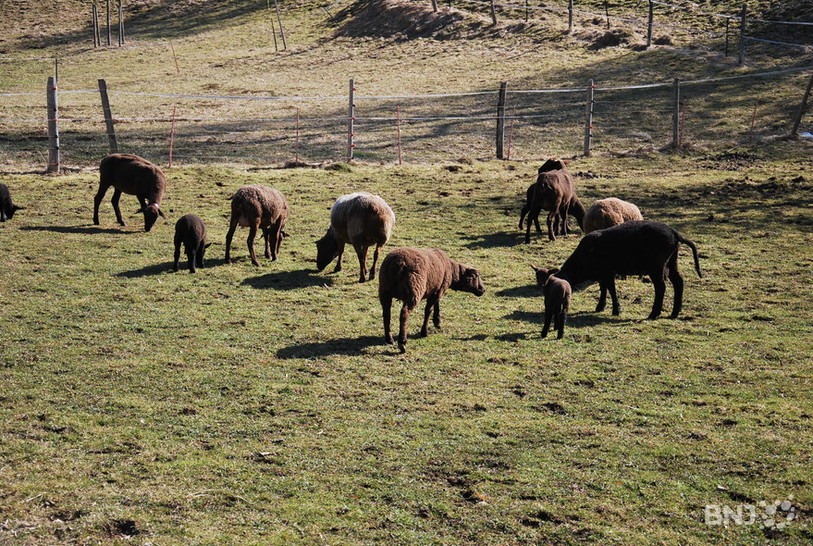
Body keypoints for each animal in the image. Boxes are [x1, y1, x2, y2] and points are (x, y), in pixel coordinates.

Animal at [555, 221, 702, 320]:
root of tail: (675, 233)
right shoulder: (603, 273)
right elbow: (604, 289)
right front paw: (600, 307)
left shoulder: (608, 271)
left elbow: (611, 289)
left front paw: (616, 310)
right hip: (671, 262)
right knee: (678, 282)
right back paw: (674, 313)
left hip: (656, 266)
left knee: (661, 287)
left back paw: (653, 314)